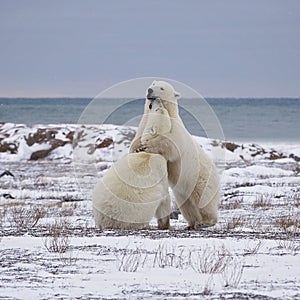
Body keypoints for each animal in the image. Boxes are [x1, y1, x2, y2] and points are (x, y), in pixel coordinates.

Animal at [92, 97, 171, 229]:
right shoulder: (161, 169)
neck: (149, 152)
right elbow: (165, 199)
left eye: (161, 108)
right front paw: (166, 225)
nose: (156, 99)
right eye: (157, 108)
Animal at [130, 79, 219, 230]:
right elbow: (136, 140)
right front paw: (137, 149)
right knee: (187, 205)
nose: (149, 90)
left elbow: (170, 144)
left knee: (203, 199)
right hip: (182, 191)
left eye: (161, 88)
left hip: (201, 179)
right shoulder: (143, 126)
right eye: (152, 84)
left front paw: (147, 146)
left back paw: (206, 221)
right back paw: (192, 223)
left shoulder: (175, 128)